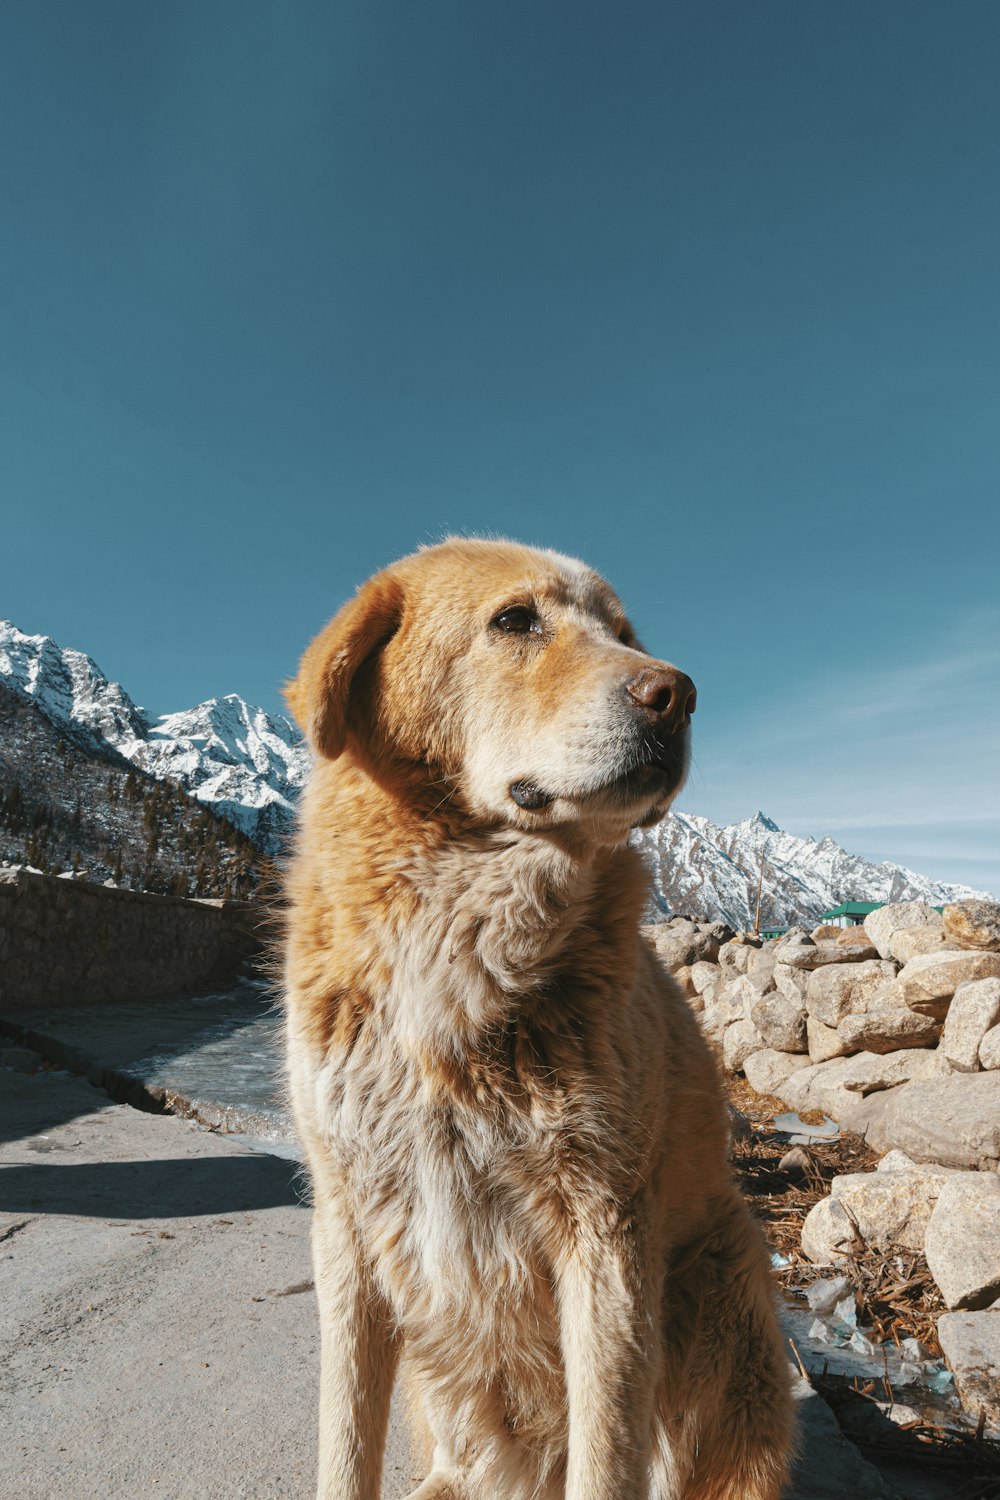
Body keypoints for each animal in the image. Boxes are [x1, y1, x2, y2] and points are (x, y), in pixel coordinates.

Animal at [281, 543, 791, 1500]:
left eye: (625, 634)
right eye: (515, 620)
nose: (678, 693)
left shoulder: (607, 1230)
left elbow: (606, 1454)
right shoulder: (347, 1222)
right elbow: (343, 1442)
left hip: (724, 1275)